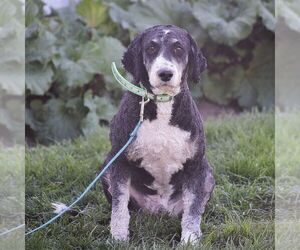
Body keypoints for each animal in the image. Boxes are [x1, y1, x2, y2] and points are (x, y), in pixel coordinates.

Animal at [102, 24, 214, 243]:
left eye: (179, 48)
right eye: (151, 48)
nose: (165, 73)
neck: (162, 104)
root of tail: (160, 210)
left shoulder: (195, 165)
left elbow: (193, 209)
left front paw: (190, 239)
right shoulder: (119, 161)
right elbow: (119, 205)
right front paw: (118, 237)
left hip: (208, 174)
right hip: (106, 168)